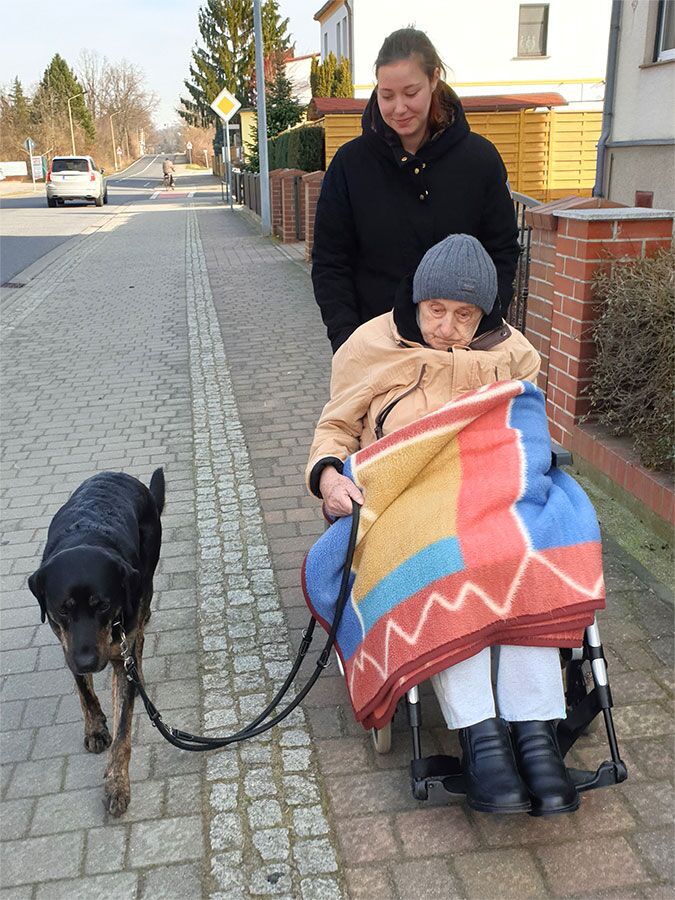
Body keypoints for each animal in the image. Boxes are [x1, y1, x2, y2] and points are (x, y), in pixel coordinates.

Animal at [28, 468, 165, 816]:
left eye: (102, 605)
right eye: (63, 609)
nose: (89, 661)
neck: (87, 537)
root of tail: (120, 475)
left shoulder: (119, 645)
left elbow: (123, 732)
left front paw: (117, 783)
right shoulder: (68, 644)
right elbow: (84, 691)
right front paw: (94, 727)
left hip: (146, 577)